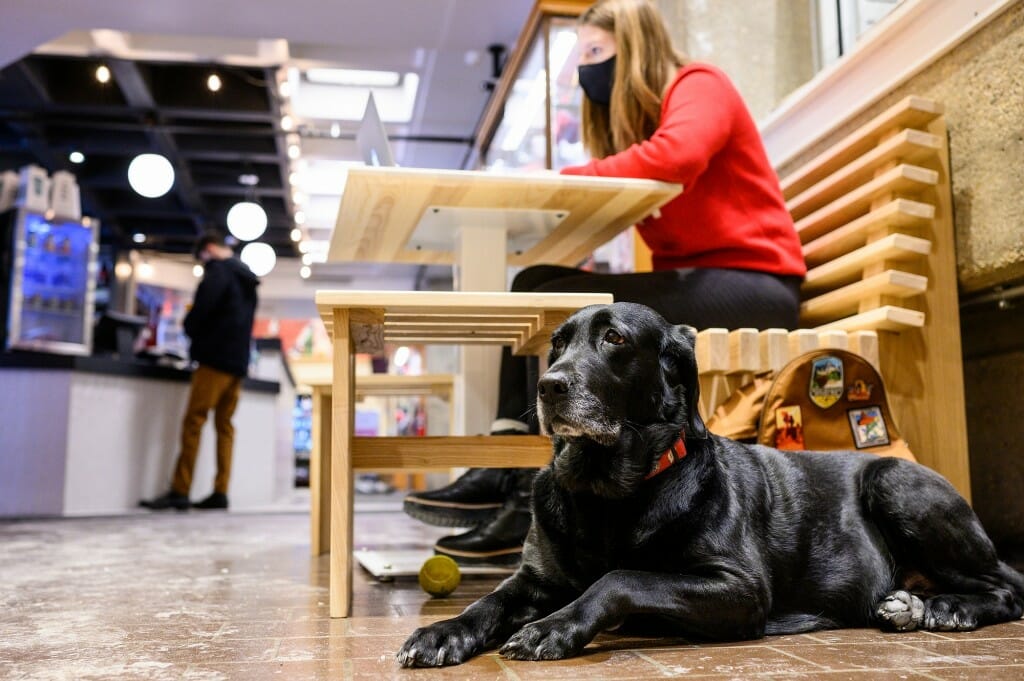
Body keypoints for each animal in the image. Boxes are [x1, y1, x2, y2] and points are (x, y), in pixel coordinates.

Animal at [395, 301, 1019, 663]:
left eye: (615, 340)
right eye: (557, 345)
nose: (549, 386)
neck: (608, 493)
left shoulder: (738, 587)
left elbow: (619, 577)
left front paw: (555, 628)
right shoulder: (534, 579)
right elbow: (489, 601)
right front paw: (443, 632)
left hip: (896, 483)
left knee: (1007, 588)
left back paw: (944, 609)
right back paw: (914, 605)